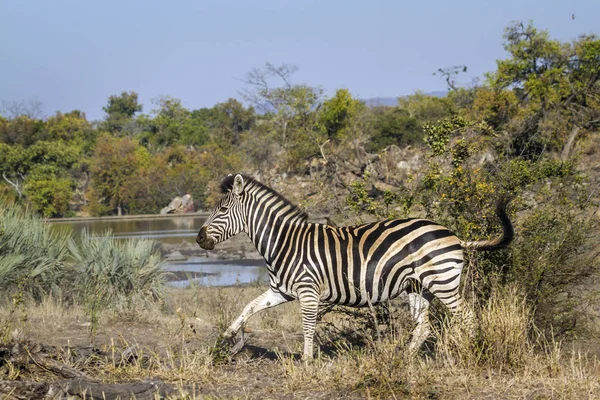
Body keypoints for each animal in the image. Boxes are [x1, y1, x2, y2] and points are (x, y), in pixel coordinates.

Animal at [197, 174, 516, 360]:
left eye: (222, 210)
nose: (199, 238)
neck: (284, 242)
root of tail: (454, 235)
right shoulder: (281, 290)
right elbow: (248, 306)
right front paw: (226, 337)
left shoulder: (308, 291)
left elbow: (308, 328)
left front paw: (307, 363)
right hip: (418, 287)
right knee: (423, 326)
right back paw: (403, 360)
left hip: (443, 283)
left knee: (468, 318)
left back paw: (475, 353)